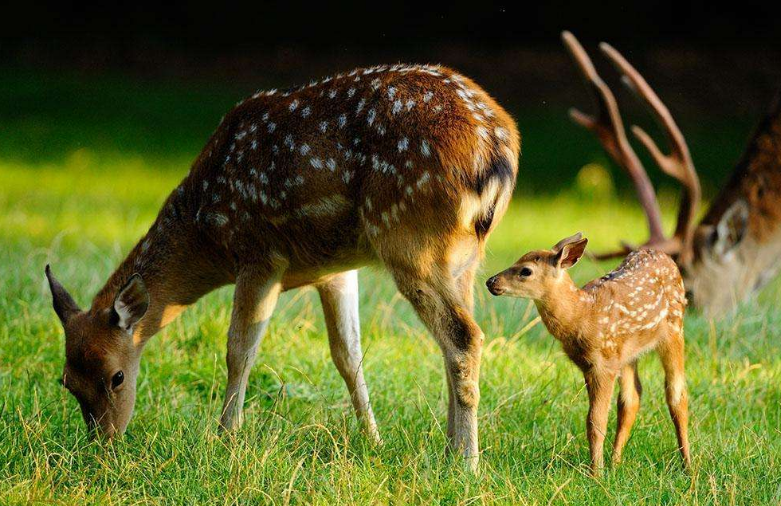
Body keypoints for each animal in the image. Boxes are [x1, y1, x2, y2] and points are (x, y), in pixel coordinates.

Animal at [44, 63, 516, 470]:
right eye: (66, 382)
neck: (205, 230)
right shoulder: (335, 270)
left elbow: (239, 351)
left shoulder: (259, 253)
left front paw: (224, 439)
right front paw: (374, 439)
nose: (104, 443)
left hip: (409, 238)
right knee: (454, 340)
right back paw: (451, 448)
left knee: (464, 337)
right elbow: (348, 356)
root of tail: (497, 149)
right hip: (462, 258)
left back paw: (466, 463)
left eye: (117, 376)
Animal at [484, 233, 692, 474]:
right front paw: (600, 468)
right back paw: (615, 463)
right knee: (631, 399)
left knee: (676, 393)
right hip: (627, 353)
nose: (491, 281)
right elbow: (592, 419)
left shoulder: (603, 366)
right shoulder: (589, 365)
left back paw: (688, 466)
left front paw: (595, 473)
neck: (582, 316)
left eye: (525, 270)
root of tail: (664, 256)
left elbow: (597, 421)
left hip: (674, 329)